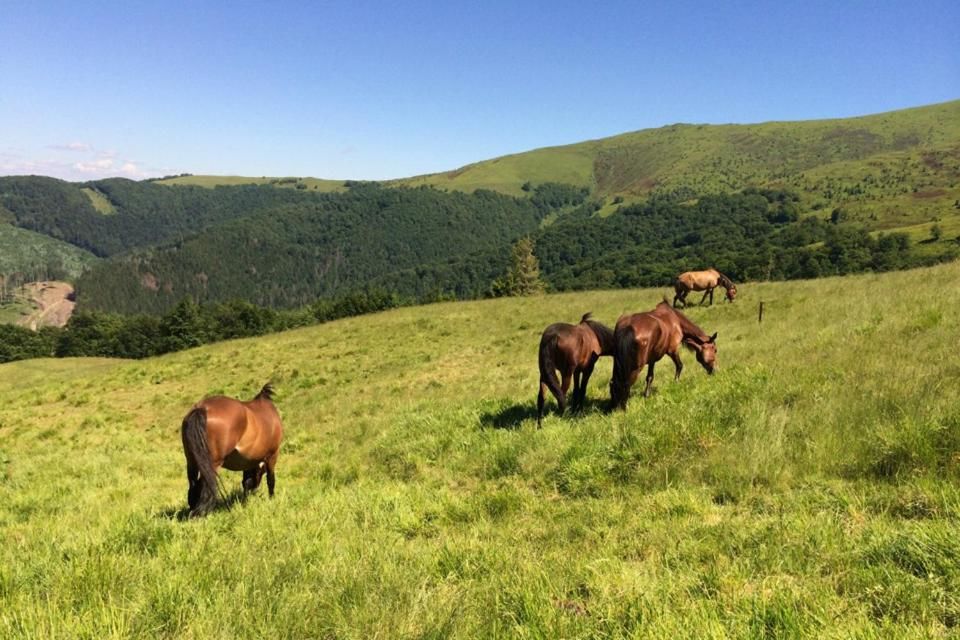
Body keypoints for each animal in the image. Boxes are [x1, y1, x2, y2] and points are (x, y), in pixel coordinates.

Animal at [181, 382, 284, 516]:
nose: (255, 488)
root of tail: (203, 408)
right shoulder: (272, 455)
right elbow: (271, 480)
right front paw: (271, 500)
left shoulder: (247, 460)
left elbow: (246, 482)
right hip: (212, 464)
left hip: (192, 462)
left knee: (193, 485)